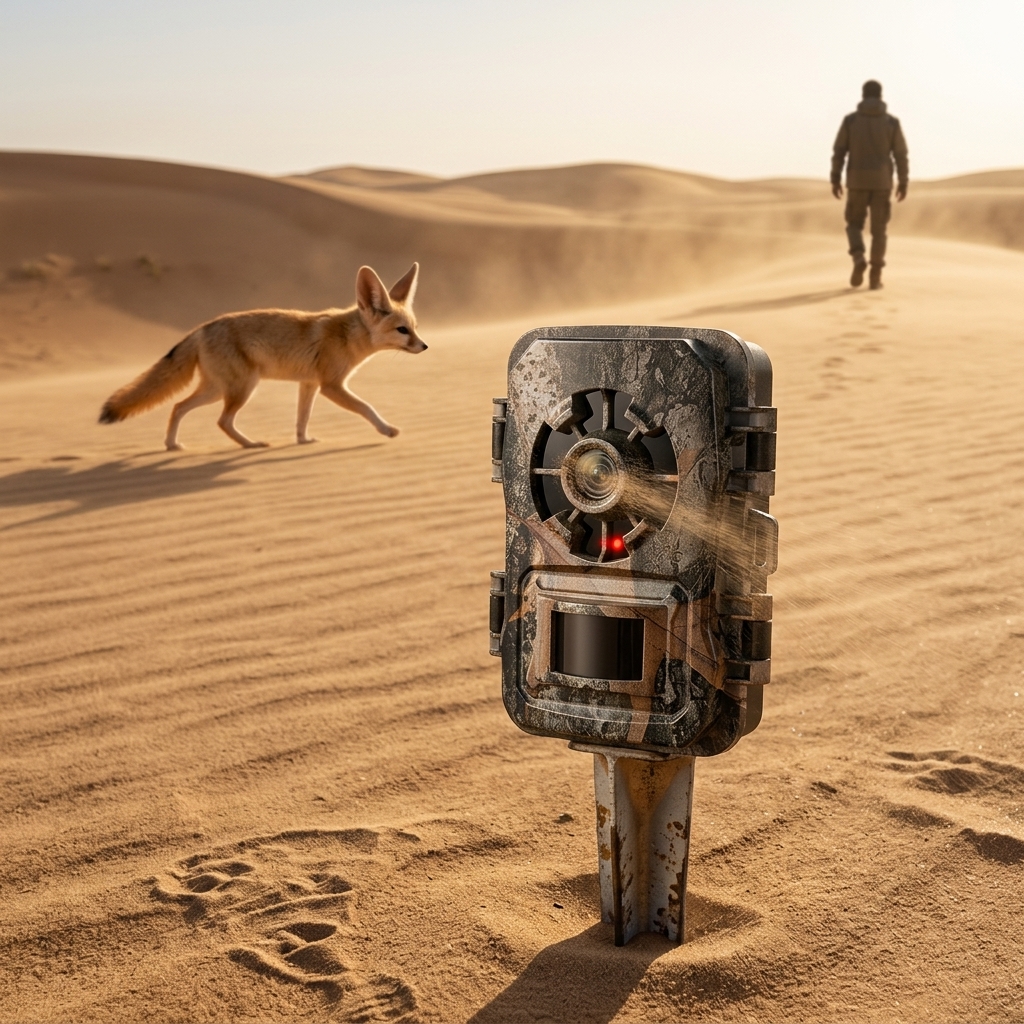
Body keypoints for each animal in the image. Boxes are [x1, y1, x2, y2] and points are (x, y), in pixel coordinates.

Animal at [99, 263, 426, 450]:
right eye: (402, 330)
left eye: (414, 327)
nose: (424, 347)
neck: (347, 335)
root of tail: (202, 327)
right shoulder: (331, 385)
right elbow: (366, 408)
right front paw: (387, 429)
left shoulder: (309, 384)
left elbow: (302, 418)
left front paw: (303, 441)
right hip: (242, 388)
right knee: (221, 421)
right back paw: (251, 444)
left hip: (216, 390)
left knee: (178, 406)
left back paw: (172, 445)